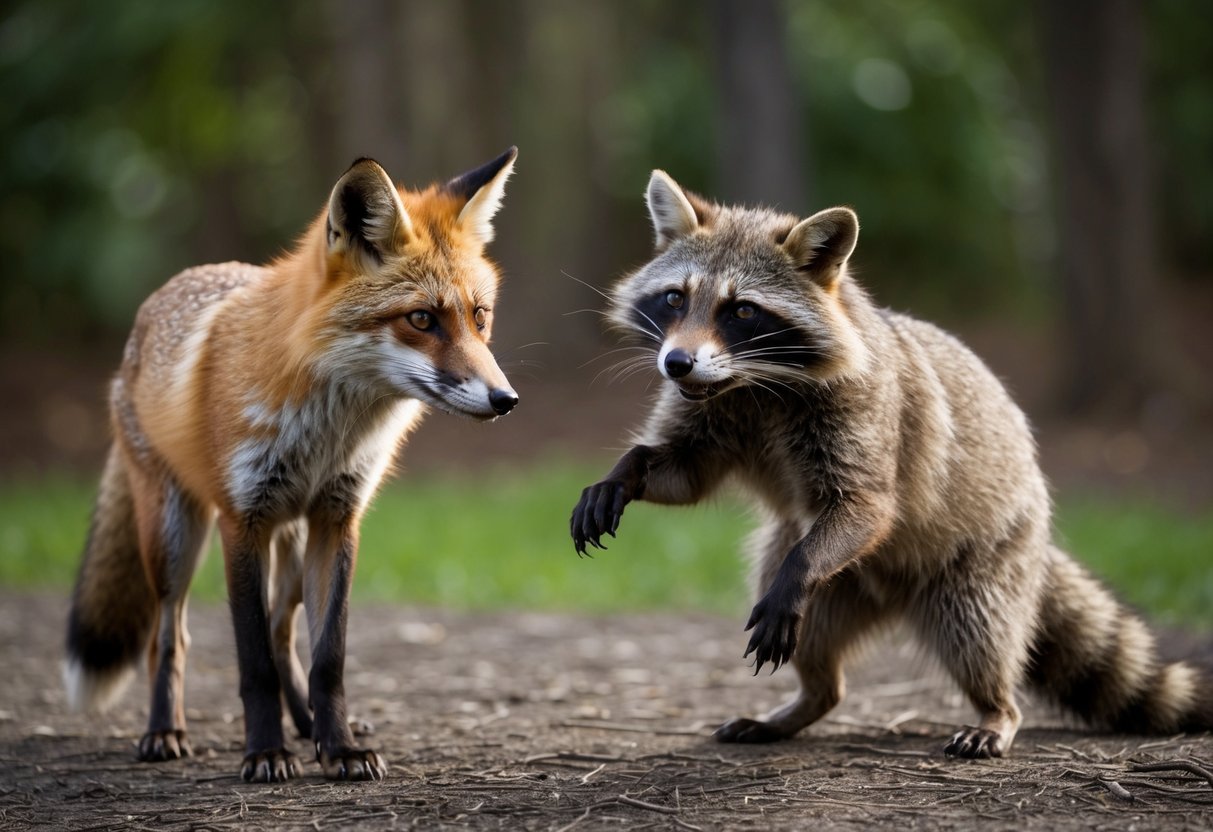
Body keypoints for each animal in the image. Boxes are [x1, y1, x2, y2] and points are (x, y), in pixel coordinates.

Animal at [65, 148, 521, 782]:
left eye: (480, 317)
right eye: (421, 320)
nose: (506, 400)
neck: (327, 432)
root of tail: (154, 304)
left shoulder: (337, 519)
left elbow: (327, 656)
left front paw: (339, 746)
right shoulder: (241, 522)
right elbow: (252, 662)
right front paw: (264, 752)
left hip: (293, 545)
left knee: (284, 636)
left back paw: (306, 726)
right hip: (175, 537)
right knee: (169, 635)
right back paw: (165, 731)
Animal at [571, 170, 1213, 758]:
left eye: (742, 311)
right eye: (675, 298)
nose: (676, 363)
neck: (751, 384)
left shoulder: (867, 412)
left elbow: (869, 504)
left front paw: (802, 567)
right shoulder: (710, 411)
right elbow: (685, 474)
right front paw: (623, 472)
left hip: (979, 559)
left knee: (978, 634)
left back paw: (997, 708)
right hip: (838, 584)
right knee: (818, 646)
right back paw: (809, 699)